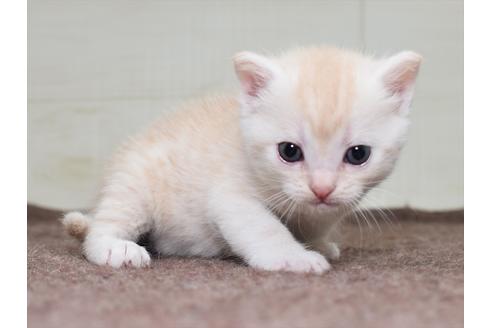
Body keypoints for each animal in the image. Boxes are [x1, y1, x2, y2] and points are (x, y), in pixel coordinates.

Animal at [62, 46, 422, 274]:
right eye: (289, 151)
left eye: (358, 154)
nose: (322, 189)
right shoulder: (232, 198)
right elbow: (264, 228)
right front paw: (294, 258)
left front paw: (318, 244)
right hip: (134, 183)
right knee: (103, 227)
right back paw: (115, 247)